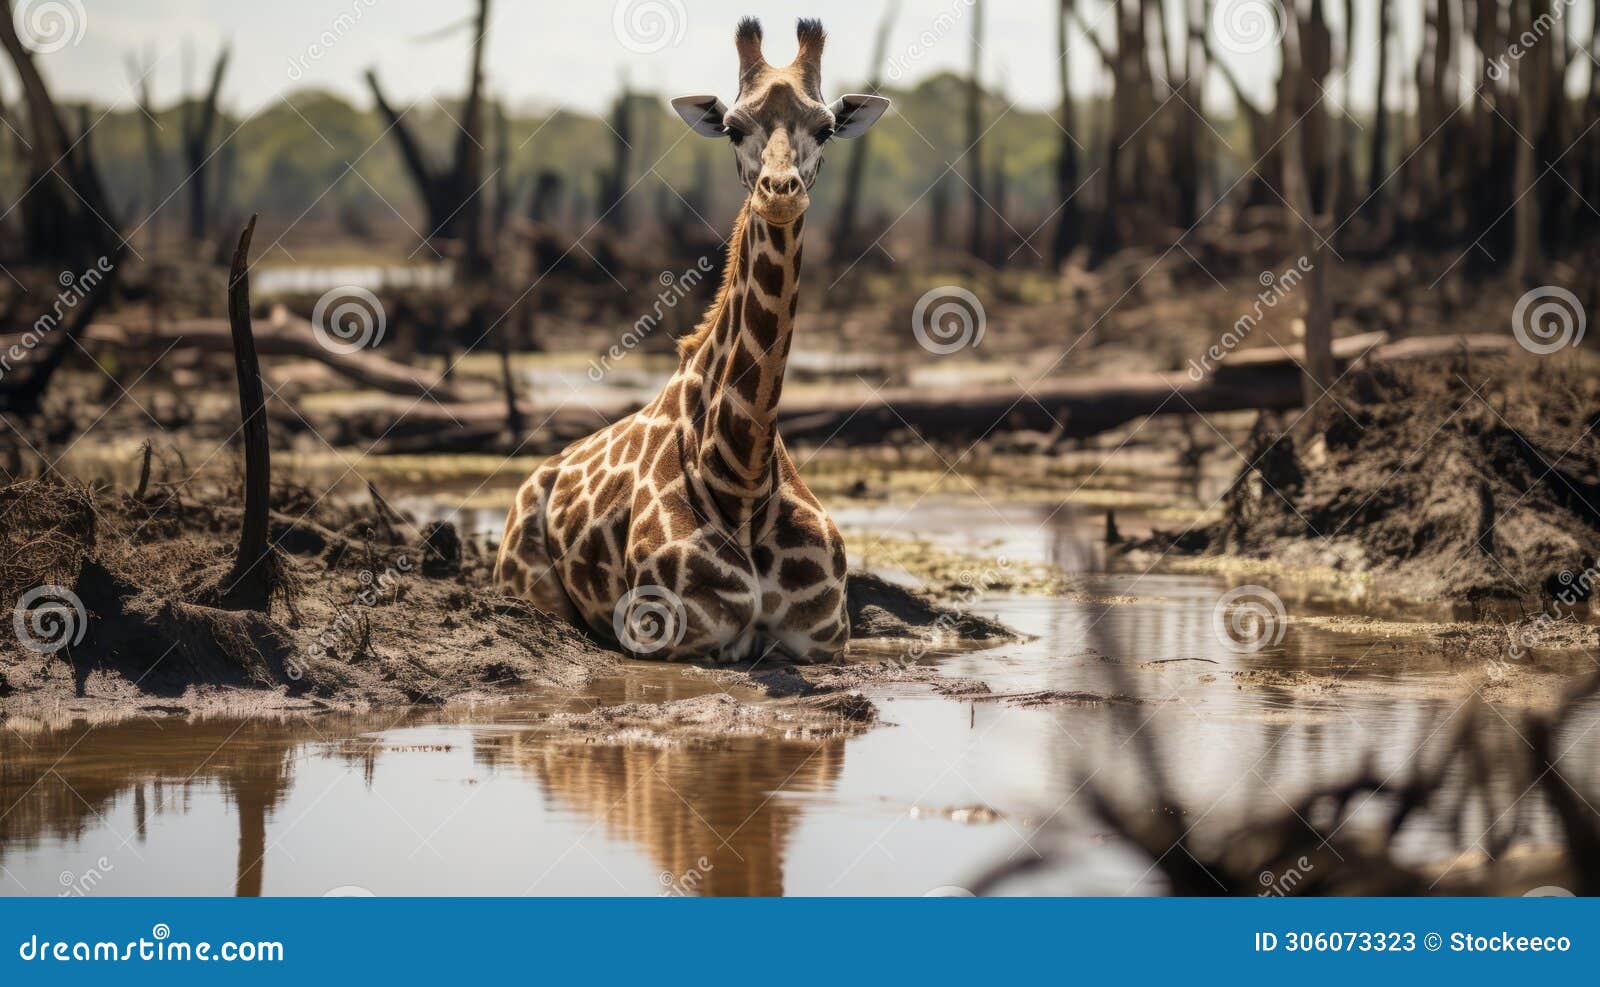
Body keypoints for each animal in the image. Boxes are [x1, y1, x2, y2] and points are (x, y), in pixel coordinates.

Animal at [492, 17, 896, 662]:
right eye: (733, 128)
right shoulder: (665, 637)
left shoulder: (825, 640)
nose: (779, 191)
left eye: (826, 128)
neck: (743, 475)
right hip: (528, 587)